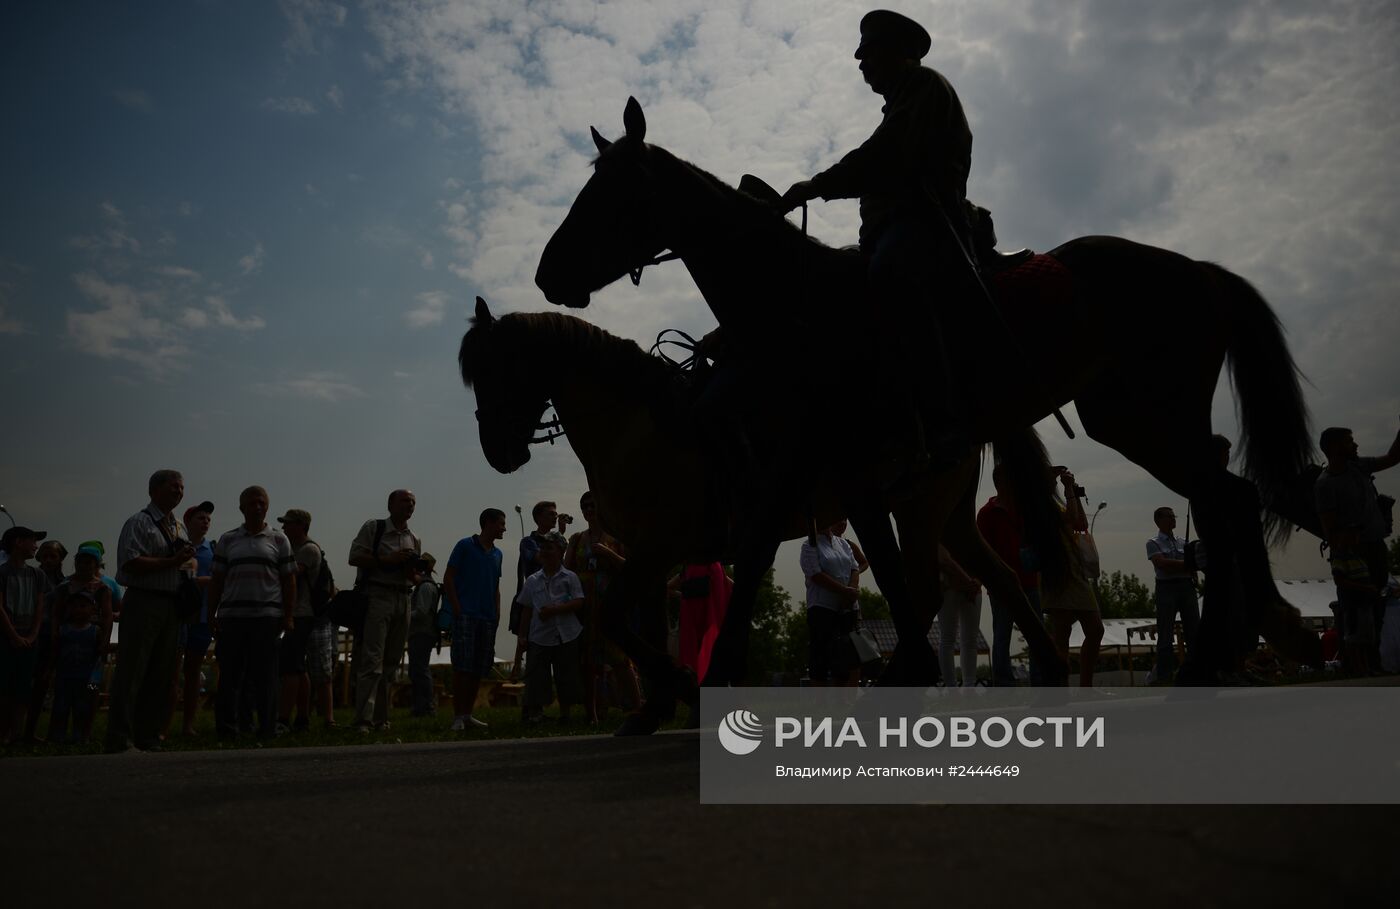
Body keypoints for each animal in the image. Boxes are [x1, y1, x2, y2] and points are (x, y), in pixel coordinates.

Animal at [534, 99, 1321, 680]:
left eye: (611, 192)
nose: (546, 273)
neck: (802, 305)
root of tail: (1199, 271)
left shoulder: (829, 467)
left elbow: (830, 561)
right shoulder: (824, 472)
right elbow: (800, 558)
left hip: (1138, 418)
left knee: (1225, 498)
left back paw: (1228, 648)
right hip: (1144, 422)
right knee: (1224, 497)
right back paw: (1242, 642)